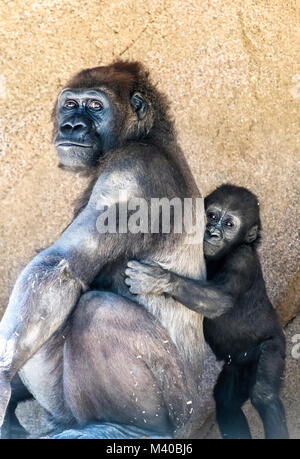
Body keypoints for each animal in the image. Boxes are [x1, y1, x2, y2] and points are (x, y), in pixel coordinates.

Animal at [0, 61, 216, 438]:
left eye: (95, 106)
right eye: (70, 104)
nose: (72, 124)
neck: (146, 135)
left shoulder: (130, 171)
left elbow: (59, 267)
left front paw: (2, 374)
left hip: (181, 409)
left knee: (98, 312)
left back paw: (128, 427)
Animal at [125, 184, 288, 442]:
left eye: (229, 224)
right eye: (211, 216)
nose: (212, 233)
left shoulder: (243, 259)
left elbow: (220, 298)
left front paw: (158, 280)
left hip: (273, 345)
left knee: (264, 394)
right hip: (237, 365)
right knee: (226, 401)